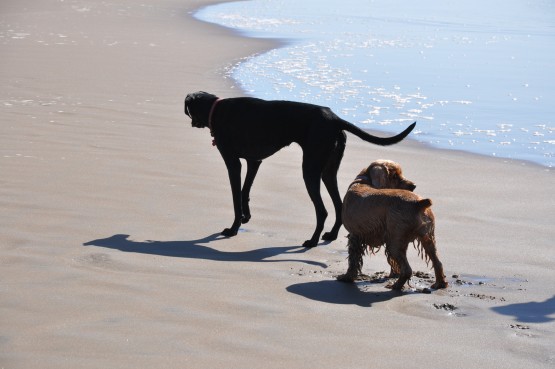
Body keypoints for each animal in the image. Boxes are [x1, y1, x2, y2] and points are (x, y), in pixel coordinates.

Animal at [185, 91, 414, 247]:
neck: (216, 108)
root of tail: (334, 118)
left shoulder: (233, 163)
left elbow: (235, 196)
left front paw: (233, 228)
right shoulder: (254, 161)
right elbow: (244, 191)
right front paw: (245, 217)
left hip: (310, 169)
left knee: (322, 210)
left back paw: (312, 241)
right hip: (328, 171)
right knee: (338, 204)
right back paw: (330, 235)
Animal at [336, 160, 450, 288]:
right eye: (395, 176)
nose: (413, 186)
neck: (363, 180)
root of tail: (419, 203)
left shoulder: (355, 235)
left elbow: (353, 260)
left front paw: (346, 277)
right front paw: (393, 274)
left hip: (395, 242)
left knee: (407, 270)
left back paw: (395, 286)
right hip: (427, 237)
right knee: (437, 262)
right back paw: (440, 283)